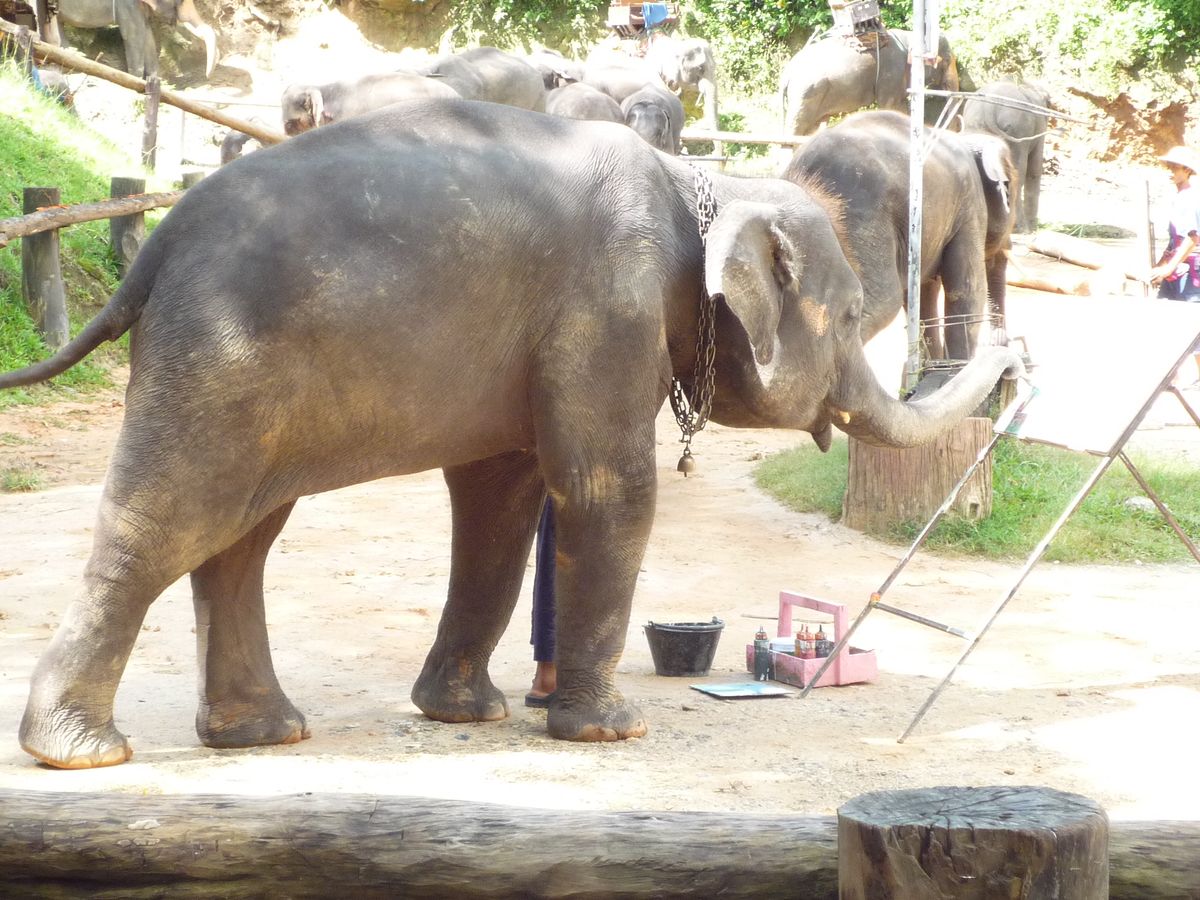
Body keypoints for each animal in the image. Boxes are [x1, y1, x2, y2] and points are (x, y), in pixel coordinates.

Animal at [40, 0, 217, 80]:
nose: (207, 76)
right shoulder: (126, 4)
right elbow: (134, 34)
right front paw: (136, 79)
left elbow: (147, 35)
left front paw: (155, 81)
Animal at [779, 30, 959, 136]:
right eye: (946, 60)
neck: (910, 36)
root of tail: (786, 73)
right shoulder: (891, 72)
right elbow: (890, 105)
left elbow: (899, 106)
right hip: (806, 94)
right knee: (796, 129)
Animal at [783, 109, 1016, 361]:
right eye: (1009, 191)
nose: (1001, 344)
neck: (965, 138)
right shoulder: (969, 205)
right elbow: (967, 289)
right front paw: (957, 368)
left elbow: (925, 293)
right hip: (861, 219)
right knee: (880, 301)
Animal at [961, 81, 1051, 234]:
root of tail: (989, 107)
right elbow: (1034, 169)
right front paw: (1033, 229)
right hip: (1018, 129)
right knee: (1018, 172)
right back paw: (1020, 228)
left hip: (976, 127)